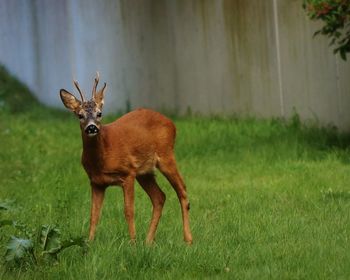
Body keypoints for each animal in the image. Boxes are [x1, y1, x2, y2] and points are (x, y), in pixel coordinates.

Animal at [59, 72, 193, 245]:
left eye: (99, 113)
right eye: (80, 115)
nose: (92, 127)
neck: (101, 159)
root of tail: (172, 123)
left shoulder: (128, 173)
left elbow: (129, 211)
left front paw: (133, 243)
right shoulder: (96, 182)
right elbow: (94, 214)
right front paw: (89, 243)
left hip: (166, 155)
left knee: (182, 189)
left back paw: (188, 240)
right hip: (144, 172)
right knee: (159, 197)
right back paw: (148, 241)